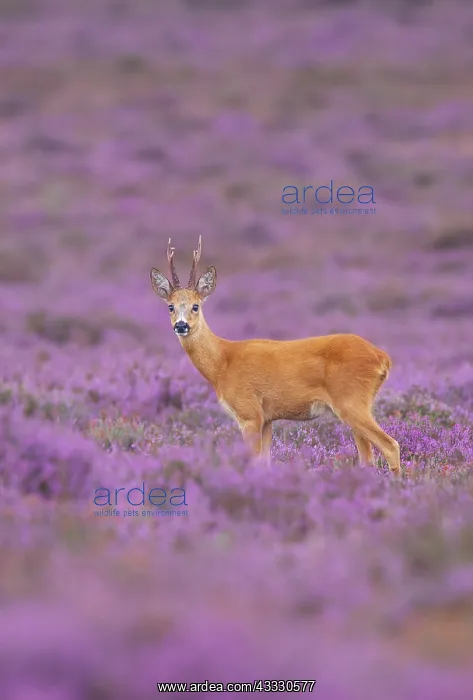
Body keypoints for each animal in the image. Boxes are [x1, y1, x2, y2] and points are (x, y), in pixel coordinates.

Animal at [150, 237, 401, 474]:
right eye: (170, 306)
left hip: (350, 401)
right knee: (368, 457)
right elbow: (265, 463)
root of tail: (382, 357)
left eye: (196, 306)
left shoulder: (249, 413)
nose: (181, 326)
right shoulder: (267, 419)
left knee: (390, 445)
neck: (223, 362)